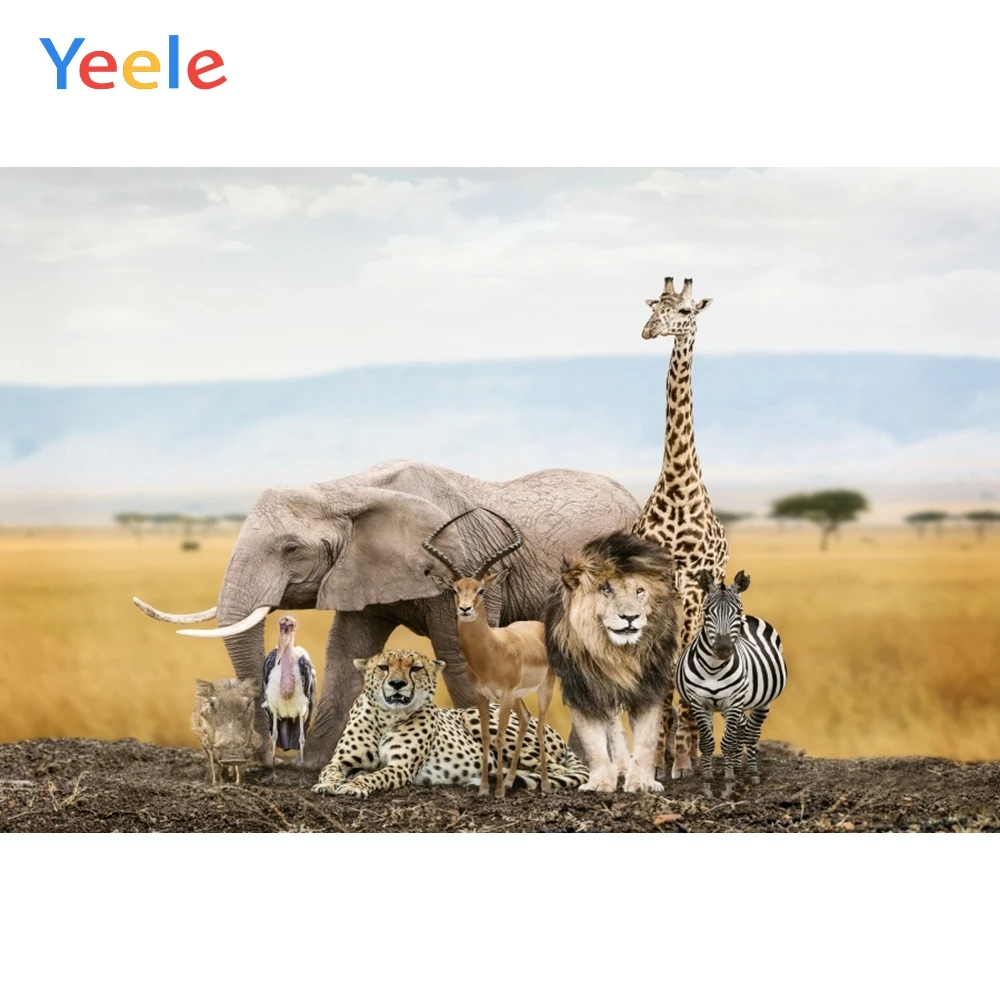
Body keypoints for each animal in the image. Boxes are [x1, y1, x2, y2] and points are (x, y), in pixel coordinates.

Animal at [134, 458, 640, 770]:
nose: (267, 759)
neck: (344, 489)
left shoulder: (465, 565)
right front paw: (318, 764)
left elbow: (458, 652)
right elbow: (347, 649)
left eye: (291, 549)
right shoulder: (360, 570)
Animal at [544, 531, 681, 793]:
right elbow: (594, 744)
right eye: (605, 589)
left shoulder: (649, 688)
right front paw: (600, 782)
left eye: (640, 591)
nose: (630, 617)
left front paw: (642, 782)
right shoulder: (583, 691)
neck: (617, 653)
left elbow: (647, 741)